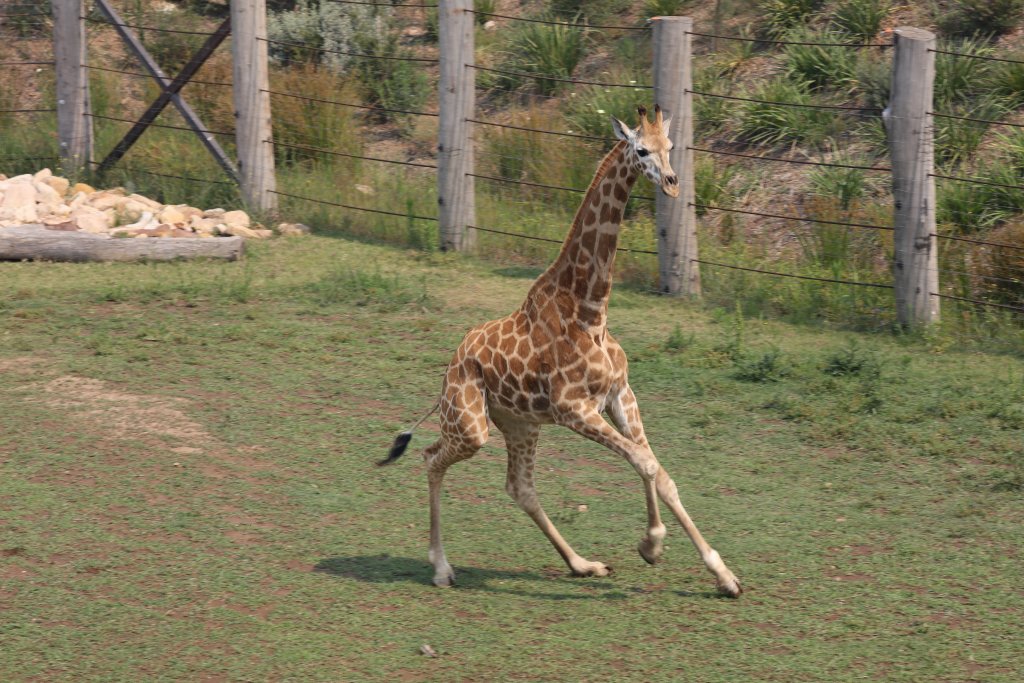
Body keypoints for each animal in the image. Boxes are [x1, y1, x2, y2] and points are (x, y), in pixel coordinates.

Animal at [382, 105, 742, 598]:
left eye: (671, 147)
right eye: (640, 150)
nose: (671, 181)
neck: (591, 311)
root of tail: (448, 370)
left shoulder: (620, 394)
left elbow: (658, 471)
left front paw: (716, 572)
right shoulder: (574, 408)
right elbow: (645, 462)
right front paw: (654, 544)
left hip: (520, 423)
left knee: (519, 487)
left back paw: (583, 564)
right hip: (472, 425)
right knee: (431, 458)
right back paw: (441, 568)